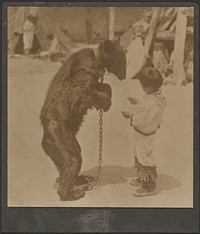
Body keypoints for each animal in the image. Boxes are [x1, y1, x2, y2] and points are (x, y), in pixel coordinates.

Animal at [39, 39, 126, 200]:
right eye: (122, 58)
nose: (124, 74)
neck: (97, 59)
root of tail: (44, 137)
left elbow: (104, 85)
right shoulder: (85, 73)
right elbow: (81, 94)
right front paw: (105, 102)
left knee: (65, 165)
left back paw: (78, 180)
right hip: (59, 136)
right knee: (73, 160)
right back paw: (70, 193)